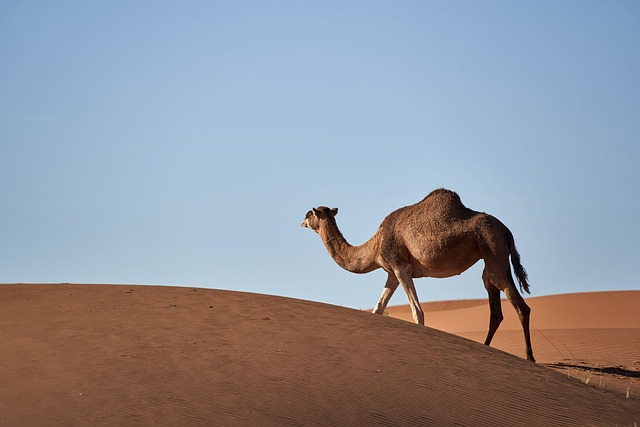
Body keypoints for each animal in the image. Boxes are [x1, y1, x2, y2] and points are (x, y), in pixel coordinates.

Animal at [300, 189, 536, 362]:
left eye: (309, 214)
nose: (301, 221)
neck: (376, 244)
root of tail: (506, 230)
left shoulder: (400, 267)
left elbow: (417, 312)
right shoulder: (391, 273)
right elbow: (378, 309)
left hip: (493, 248)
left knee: (520, 306)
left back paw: (530, 357)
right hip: (492, 260)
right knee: (495, 307)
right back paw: (486, 348)